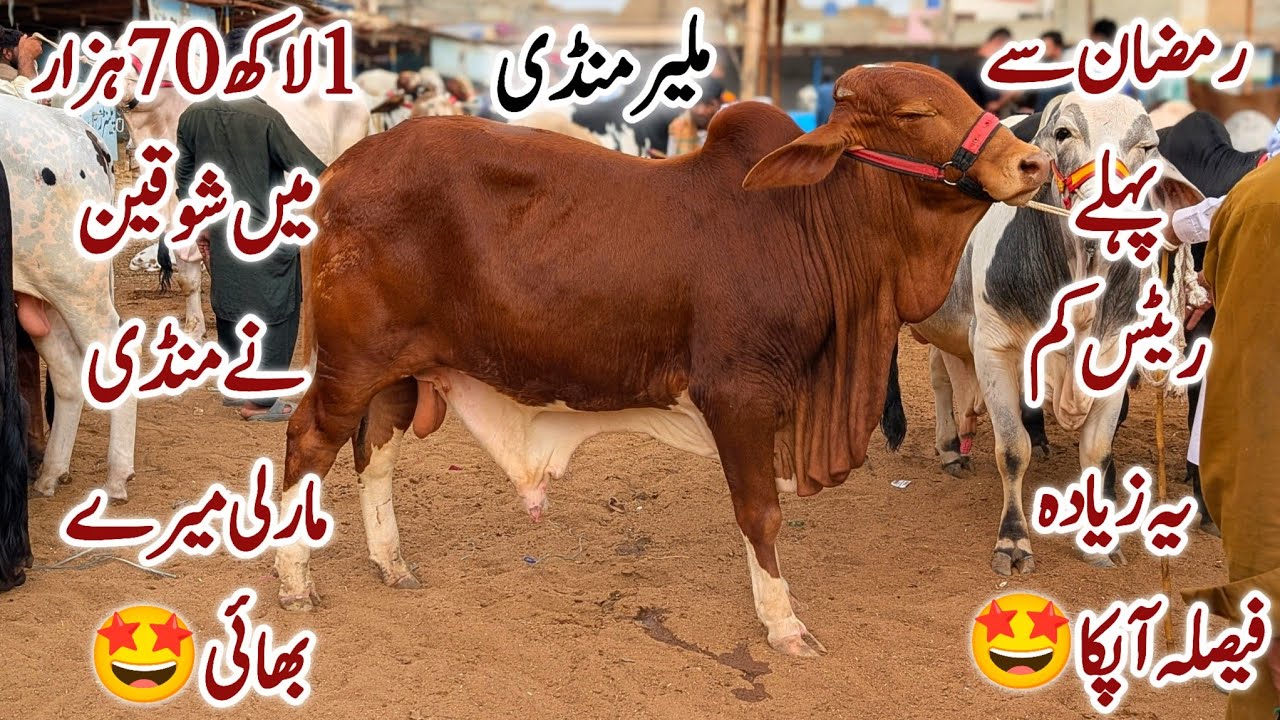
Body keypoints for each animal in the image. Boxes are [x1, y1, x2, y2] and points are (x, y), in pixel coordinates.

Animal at [1, 97, 139, 503]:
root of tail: (81, 130)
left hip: (76, 283)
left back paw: (117, 475)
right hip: (43, 293)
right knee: (66, 372)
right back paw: (51, 471)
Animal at [271, 63, 1050, 655]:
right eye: (918, 111)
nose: (1031, 161)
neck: (804, 222)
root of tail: (342, 168)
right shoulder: (740, 396)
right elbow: (761, 514)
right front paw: (783, 623)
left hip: (398, 370)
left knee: (376, 452)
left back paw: (392, 563)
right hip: (350, 363)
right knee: (310, 443)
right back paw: (295, 580)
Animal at [905, 93, 1202, 575]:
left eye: (1148, 146)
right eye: (1063, 133)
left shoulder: (1113, 356)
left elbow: (1096, 453)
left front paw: (1099, 542)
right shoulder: (993, 348)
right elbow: (1012, 450)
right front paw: (1013, 541)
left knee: (943, 370)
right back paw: (944, 446)